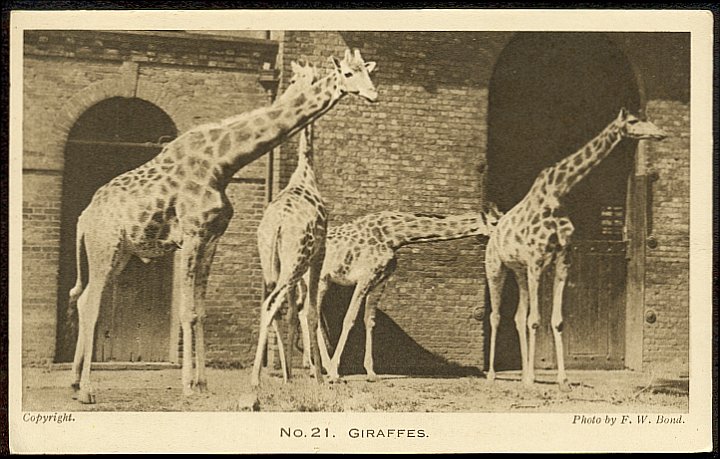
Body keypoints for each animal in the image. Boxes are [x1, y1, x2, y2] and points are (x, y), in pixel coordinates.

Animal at [67, 49, 378, 403]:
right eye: (349, 74)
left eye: (367, 72)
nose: (373, 95)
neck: (223, 163)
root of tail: (84, 217)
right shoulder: (190, 236)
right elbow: (187, 311)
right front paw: (188, 386)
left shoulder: (211, 237)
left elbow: (200, 311)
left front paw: (202, 383)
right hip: (104, 248)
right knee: (90, 303)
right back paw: (87, 389)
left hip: (119, 254)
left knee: (83, 298)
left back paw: (74, 382)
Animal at [298, 204, 503, 382]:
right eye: (495, 222)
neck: (394, 236)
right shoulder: (364, 278)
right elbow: (349, 320)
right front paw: (335, 372)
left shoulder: (379, 281)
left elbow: (369, 321)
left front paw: (371, 373)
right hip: (320, 280)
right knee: (311, 315)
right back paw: (323, 369)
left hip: (312, 282)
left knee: (306, 315)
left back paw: (313, 368)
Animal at [484, 108, 667, 392]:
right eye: (634, 121)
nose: (661, 133)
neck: (559, 192)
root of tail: (494, 230)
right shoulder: (537, 260)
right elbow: (535, 319)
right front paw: (531, 381)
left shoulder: (562, 260)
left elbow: (556, 321)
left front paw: (562, 380)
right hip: (495, 267)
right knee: (495, 315)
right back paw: (493, 374)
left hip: (519, 271)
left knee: (517, 316)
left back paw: (525, 373)